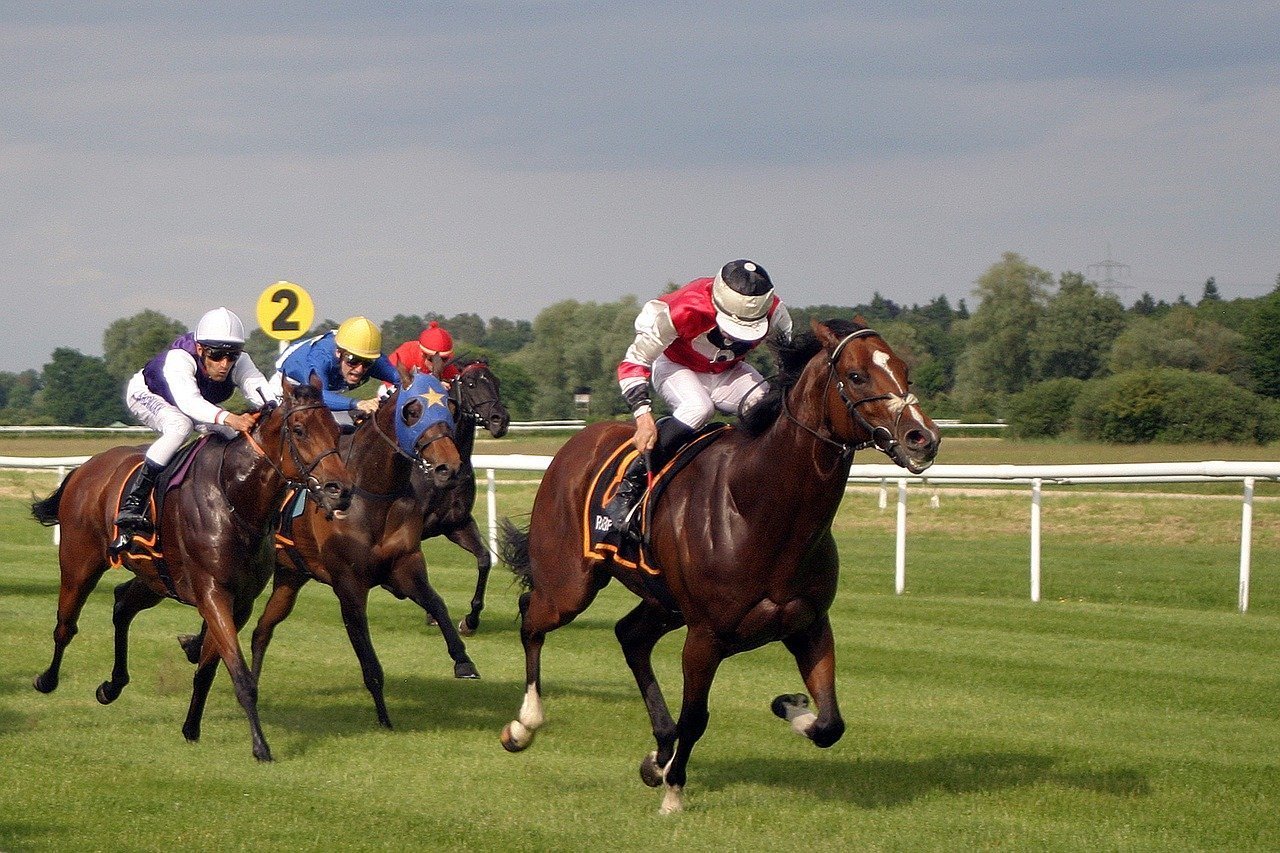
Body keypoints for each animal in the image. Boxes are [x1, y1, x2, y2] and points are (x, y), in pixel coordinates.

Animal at [30, 376, 350, 758]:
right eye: (299, 430)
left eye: (336, 430)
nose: (341, 490)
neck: (235, 496)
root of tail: (85, 467)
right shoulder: (213, 593)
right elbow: (241, 675)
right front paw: (260, 747)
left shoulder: (239, 602)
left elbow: (208, 668)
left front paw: (191, 728)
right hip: (80, 562)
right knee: (66, 624)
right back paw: (47, 679)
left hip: (155, 578)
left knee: (122, 603)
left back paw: (112, 686)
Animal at [181, 368, 476, 727]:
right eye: (413, 411)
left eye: (449, 406)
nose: (449, 467)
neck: (373, 494)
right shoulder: (349, 584)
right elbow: (367, 657)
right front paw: (384, 719)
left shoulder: (405, 564)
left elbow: (438, 605)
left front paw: (463, 660)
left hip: (290, 576)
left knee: (261, 630)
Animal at [496, 318, 942, 809]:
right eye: (857, 376)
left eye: (905, 371)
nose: (923, 438)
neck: (758, 506)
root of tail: (575, 442)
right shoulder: (705, 636)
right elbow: (696, 718)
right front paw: (674, 793)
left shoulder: (809, 624)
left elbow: (830, 724)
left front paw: (789, 705)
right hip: (569, 587)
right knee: (531, 616)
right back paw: (525, 724)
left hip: (664, 601)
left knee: (630, 635)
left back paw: (657, 753)